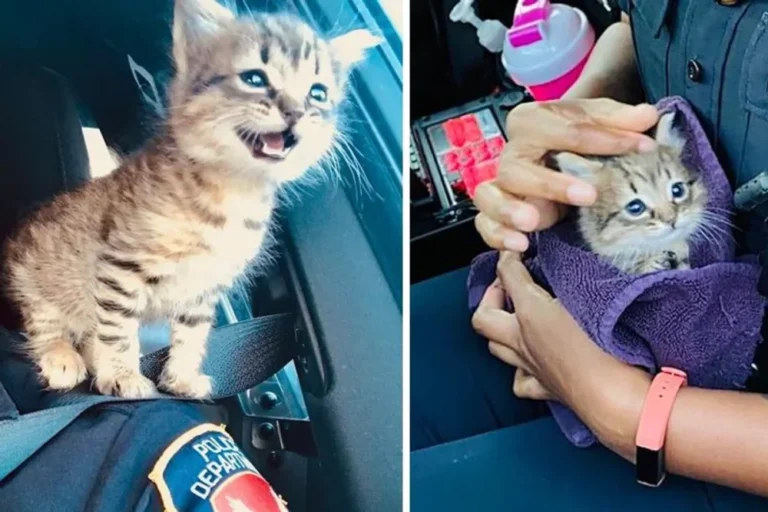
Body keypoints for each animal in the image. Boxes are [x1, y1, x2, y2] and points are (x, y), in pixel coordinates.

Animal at [1, 0, 380, 400]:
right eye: (255, 79)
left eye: (317, 93)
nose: (295, 111)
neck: (233, 191)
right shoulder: (121, 267)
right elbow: (118, 329)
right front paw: (122, 373)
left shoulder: (205, 285)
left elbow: (192, 333)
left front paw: (181, 376)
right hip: (33, 271)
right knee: (45, 321)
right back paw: (62, 357)